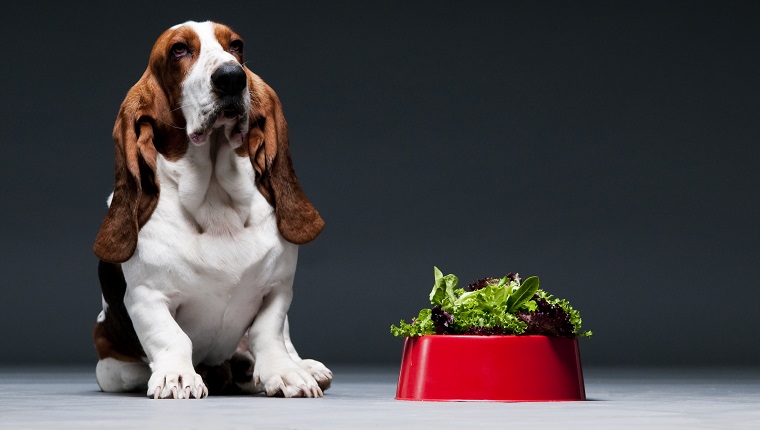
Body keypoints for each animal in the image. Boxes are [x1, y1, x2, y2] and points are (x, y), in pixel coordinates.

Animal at [91, 18, 332, 398]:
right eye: (179, 50)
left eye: (236, 46)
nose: (232, 77)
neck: (215, 199)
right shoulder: (147, 298)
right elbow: (172, 338)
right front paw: (177, 376)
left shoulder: (278, 289)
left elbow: (269, 332)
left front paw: (284, 373)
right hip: (110, 367)